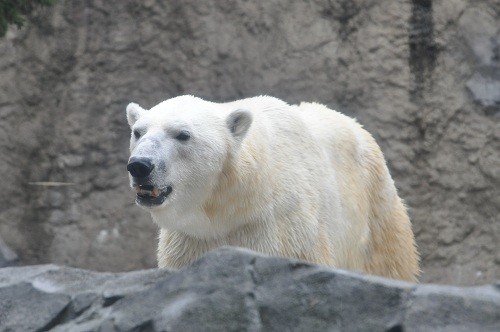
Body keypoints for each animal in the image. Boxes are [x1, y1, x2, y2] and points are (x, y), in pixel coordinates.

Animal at [125, 94, 418, 282]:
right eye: (138, 132)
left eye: (183, 134)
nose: (140, 165)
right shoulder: (190, 239)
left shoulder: (281, 227)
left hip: (374, 210)